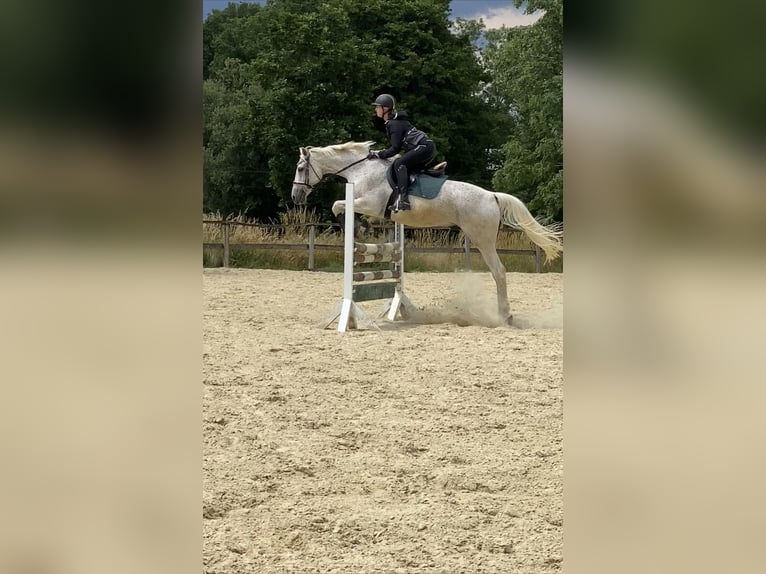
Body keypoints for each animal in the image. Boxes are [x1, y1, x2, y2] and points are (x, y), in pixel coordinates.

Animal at [292, 141, 560, 324]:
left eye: (301, 168)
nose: (296, 197)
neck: (362, 170)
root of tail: (492, 196)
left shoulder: (369, 203)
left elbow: (337, 205)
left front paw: (357, 228)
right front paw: (365, 226)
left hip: (481, 239)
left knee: (499, 272)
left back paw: (504, 315)